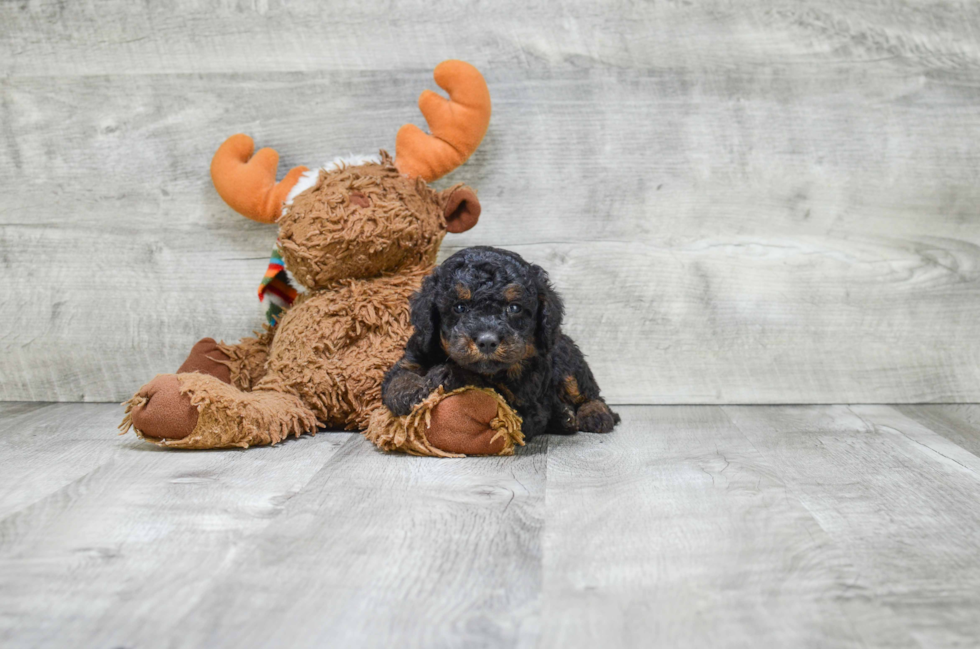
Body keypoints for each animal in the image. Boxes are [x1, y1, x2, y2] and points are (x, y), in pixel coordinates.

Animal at [378, 246, 616, 438]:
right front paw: (408, 392)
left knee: (590, 393)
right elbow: (398, 376)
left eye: (514, 308)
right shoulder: (416, 353)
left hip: (568, 362)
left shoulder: (525, 402)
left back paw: (594, 415)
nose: (487, 341)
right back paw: (564, 417)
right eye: (459, 307)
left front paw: (449, 374)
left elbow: (491, 390)